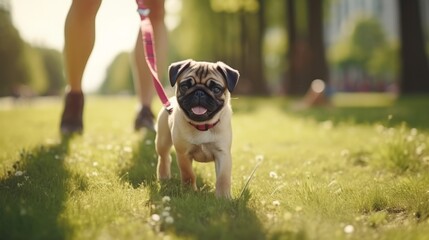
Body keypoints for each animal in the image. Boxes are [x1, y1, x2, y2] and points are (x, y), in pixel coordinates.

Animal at [155, 59, 239, 198]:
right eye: (185, 86)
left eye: (216, 89)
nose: (199, 92)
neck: (203, 126)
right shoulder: (183, 154)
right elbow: (188, 174)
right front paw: (189, 192)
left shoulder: (223, 154)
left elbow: (223, 177)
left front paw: (223, 197)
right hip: (162, 141)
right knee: (165, 157)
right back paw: (164, 176)